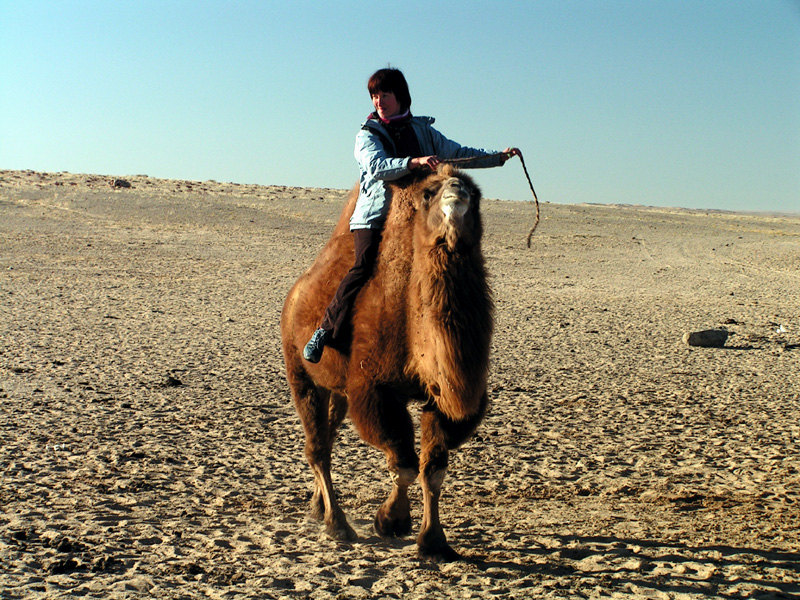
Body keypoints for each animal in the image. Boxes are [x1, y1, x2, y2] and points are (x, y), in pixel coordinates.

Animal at [282, 165, 494, 564]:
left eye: (476, 192)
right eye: (428, 193)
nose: (456, 192)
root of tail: (295, 294)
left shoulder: (444, 400)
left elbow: (433, 470)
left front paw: (434, 542)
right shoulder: (374, 387)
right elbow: (406, 464)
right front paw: (390, 520)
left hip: (337, 389)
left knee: (326, 437)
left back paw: (317, 508)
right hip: (300, 371)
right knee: (317, 447)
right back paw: (337, 525)